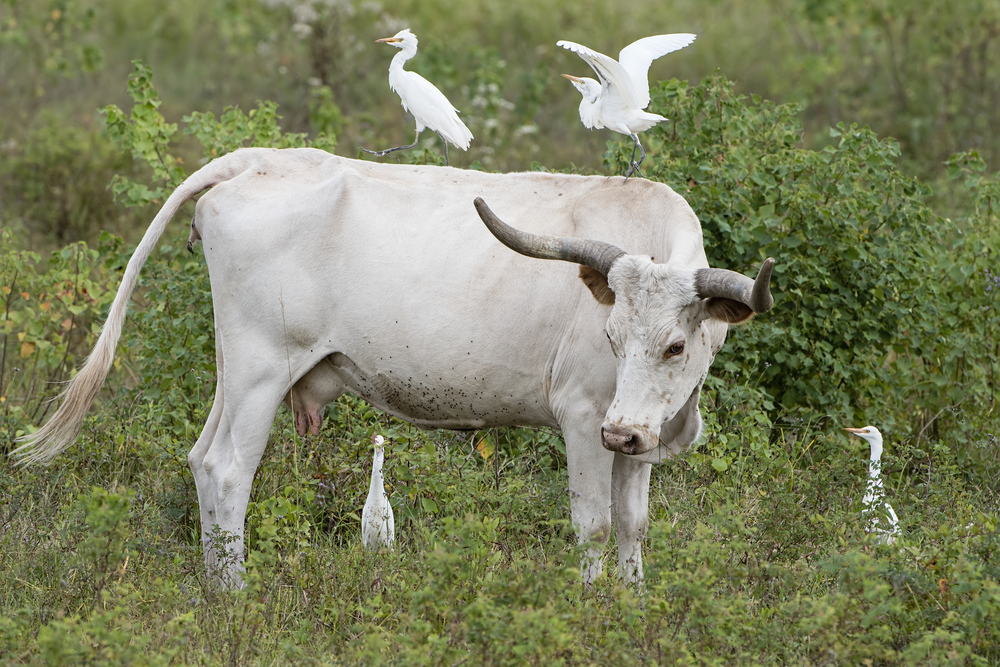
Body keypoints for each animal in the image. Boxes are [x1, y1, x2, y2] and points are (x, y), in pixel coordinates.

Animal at [15, 149, 776, 588]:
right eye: (614, 335)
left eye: (675, 346)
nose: (624, 433)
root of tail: (260, 159)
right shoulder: (587, 416)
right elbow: (592, 524)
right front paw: (594, 610)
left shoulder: (639, 434)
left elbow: (632, 526)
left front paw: (632, 603)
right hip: (261, 366)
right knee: (229, 469)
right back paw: (235, 596)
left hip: (234, 369)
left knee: (202, 459)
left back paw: (212, 589)